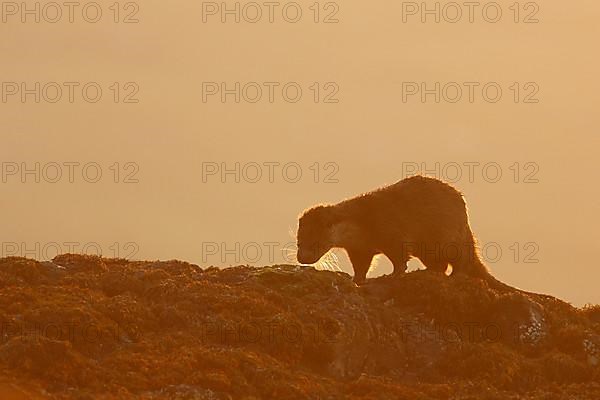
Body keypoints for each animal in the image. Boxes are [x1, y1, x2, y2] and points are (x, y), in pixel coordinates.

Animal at [296, 176, 492, 284]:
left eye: (315, 242)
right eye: (298, 242)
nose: (302, 259)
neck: (363, 223)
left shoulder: (392, 233)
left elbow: (400, 258)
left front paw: (393, 275)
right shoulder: (359, 248)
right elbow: (361, 265)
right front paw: (356, 279)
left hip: (447, 236)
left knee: (462, 261)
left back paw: (453, 275)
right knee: (441, 265)